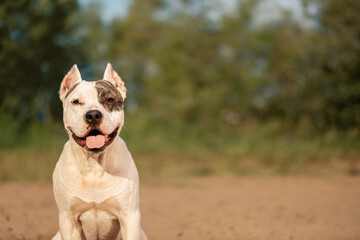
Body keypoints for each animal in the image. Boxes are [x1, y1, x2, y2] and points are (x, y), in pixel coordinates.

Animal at [51, 63, 147, 240]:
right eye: (76, 101)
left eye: (110, 99)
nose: (93, 115)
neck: (94, 166)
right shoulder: (68, 218)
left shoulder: (129, 216)